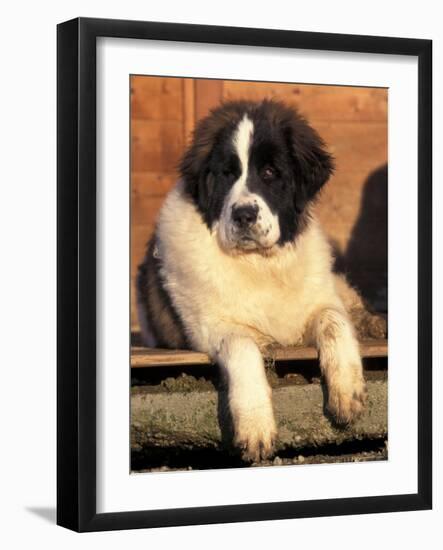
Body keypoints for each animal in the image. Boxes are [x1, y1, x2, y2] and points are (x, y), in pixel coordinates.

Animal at [138, 100, 372, 466]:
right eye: (227, 174)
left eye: (270, 173)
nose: (244, 215)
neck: (261, 265)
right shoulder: (210, 325)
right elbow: (243, 346)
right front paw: (255, 427)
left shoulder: (318, 302)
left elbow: (335, 322)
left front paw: (347, 392)